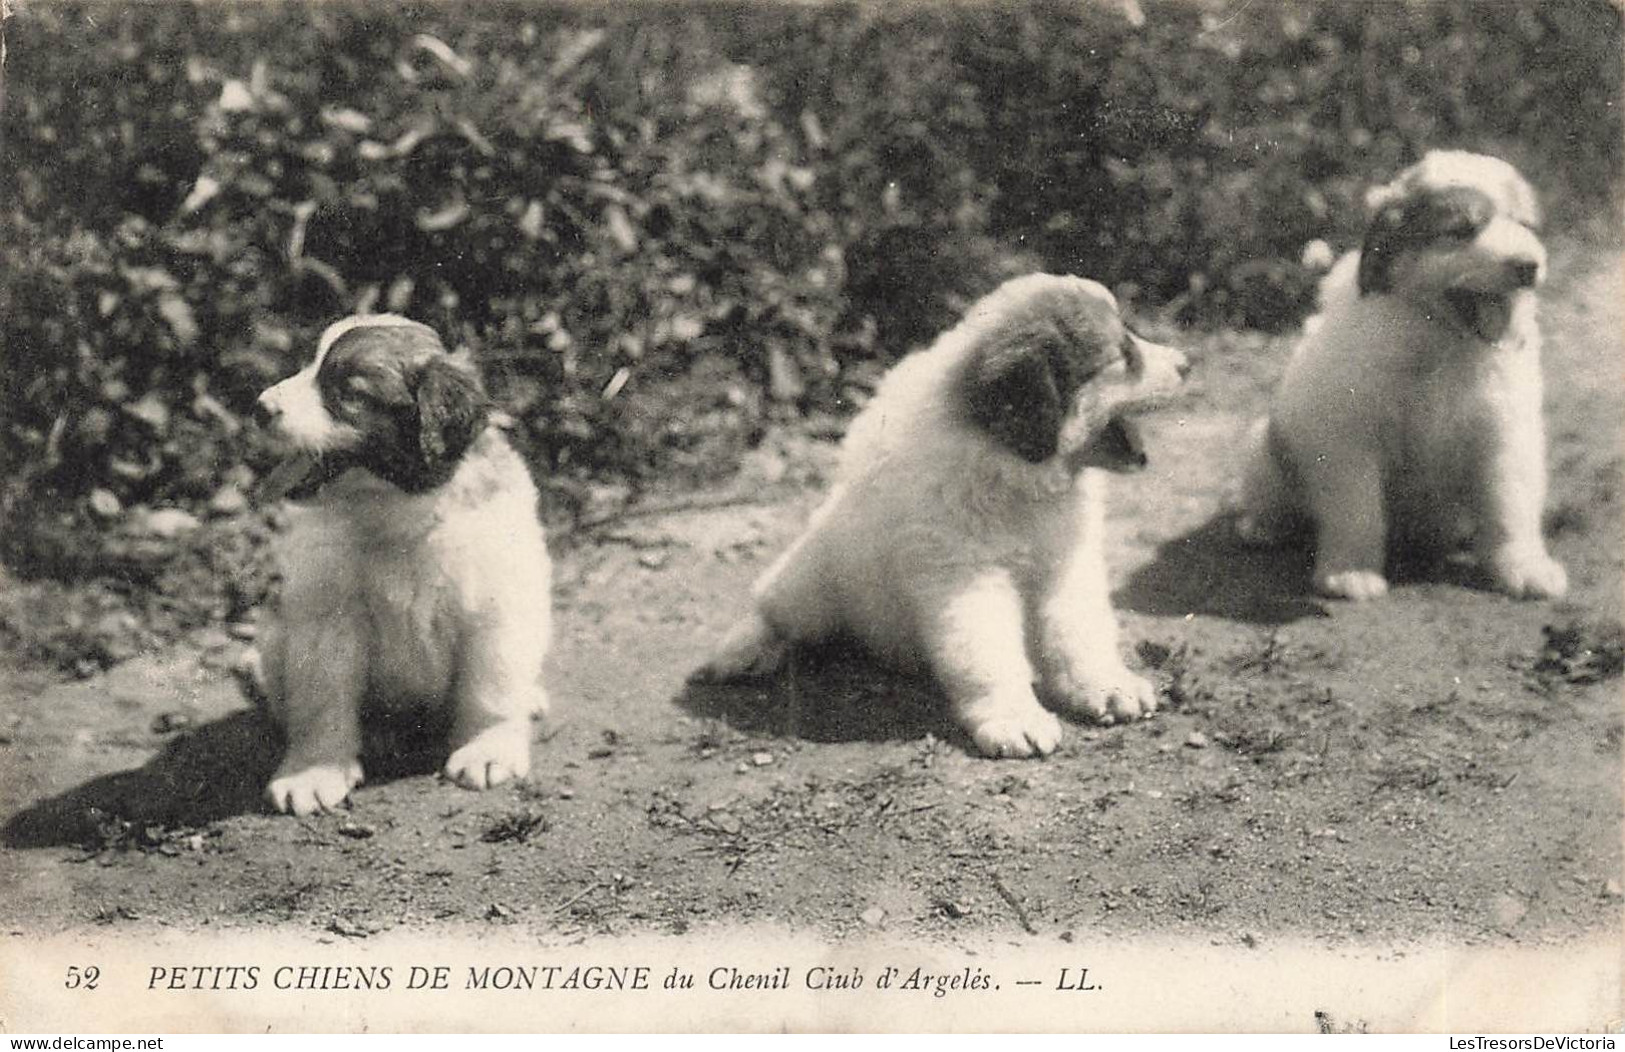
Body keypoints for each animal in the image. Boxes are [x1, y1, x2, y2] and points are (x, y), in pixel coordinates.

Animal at [251, 317, 552, 819]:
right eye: (308, 365)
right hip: (274, 637)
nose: (259, 408)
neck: (395, 513)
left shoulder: (496, 605)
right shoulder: (325, 619)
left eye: (348, 391)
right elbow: (320, 700)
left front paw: (487, 749)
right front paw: (313, 772)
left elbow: (490, 686)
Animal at [692, 273, 1189, 757]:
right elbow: (987, 651)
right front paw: (1014, 716)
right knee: (775, 609)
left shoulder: (1068, 562)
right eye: (1125, 355)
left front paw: (1107, 685)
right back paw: (742, 650)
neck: (1016, 478)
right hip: (813, 580)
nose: (1186, 364)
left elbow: (1080, 629)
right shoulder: (964, 574)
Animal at [1235, 147, 1566, 601]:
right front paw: (1351, 573)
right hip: (1263, 446)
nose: (1528, 266)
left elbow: (1510, 507)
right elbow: (1357, 512)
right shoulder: (1348, 438)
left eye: (1526, 227)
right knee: (1274, 500)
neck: (1441, 338)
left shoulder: (1505, 432)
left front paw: (1526, 567)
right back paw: (1262, 527)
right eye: (1461, 230)